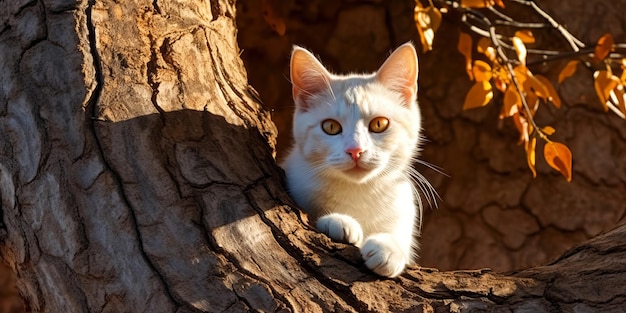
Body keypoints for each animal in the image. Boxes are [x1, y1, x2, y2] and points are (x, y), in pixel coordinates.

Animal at [280, 42, 432, 276]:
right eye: (330, 127)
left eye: (379, 124)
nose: (355, 150)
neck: (359, 191)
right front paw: (337, 221)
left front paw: (389, 248)